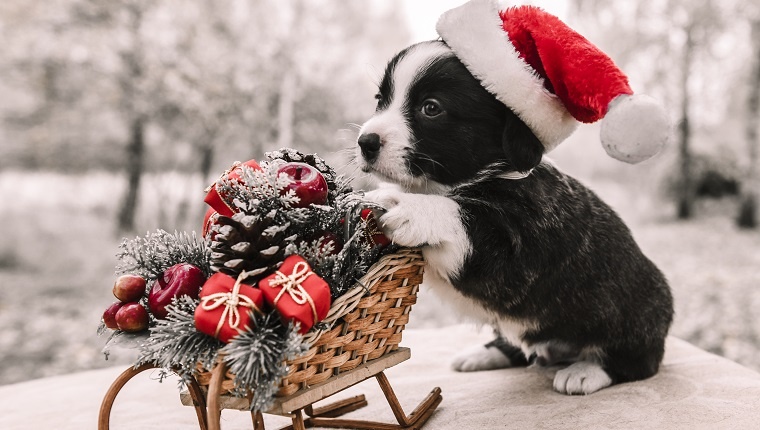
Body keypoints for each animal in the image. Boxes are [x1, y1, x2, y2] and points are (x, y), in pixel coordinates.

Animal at [354, 41, 672, 396]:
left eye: (431, 108)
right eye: (380, 100)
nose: (365, 142)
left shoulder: (515, 253)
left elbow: (457, 214)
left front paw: (403, 204)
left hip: (638, 310)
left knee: (639, 359)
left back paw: (587, 370)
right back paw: (485, 354)